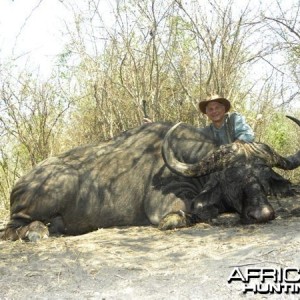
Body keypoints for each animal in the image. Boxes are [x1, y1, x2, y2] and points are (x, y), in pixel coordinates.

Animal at [2, 115, 300, 241]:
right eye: (232, 176)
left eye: (261, 175)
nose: (262, 213)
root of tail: (21, 183)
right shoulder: (165, 210)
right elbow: (188, 215)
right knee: (11, 229)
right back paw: (38, 232)